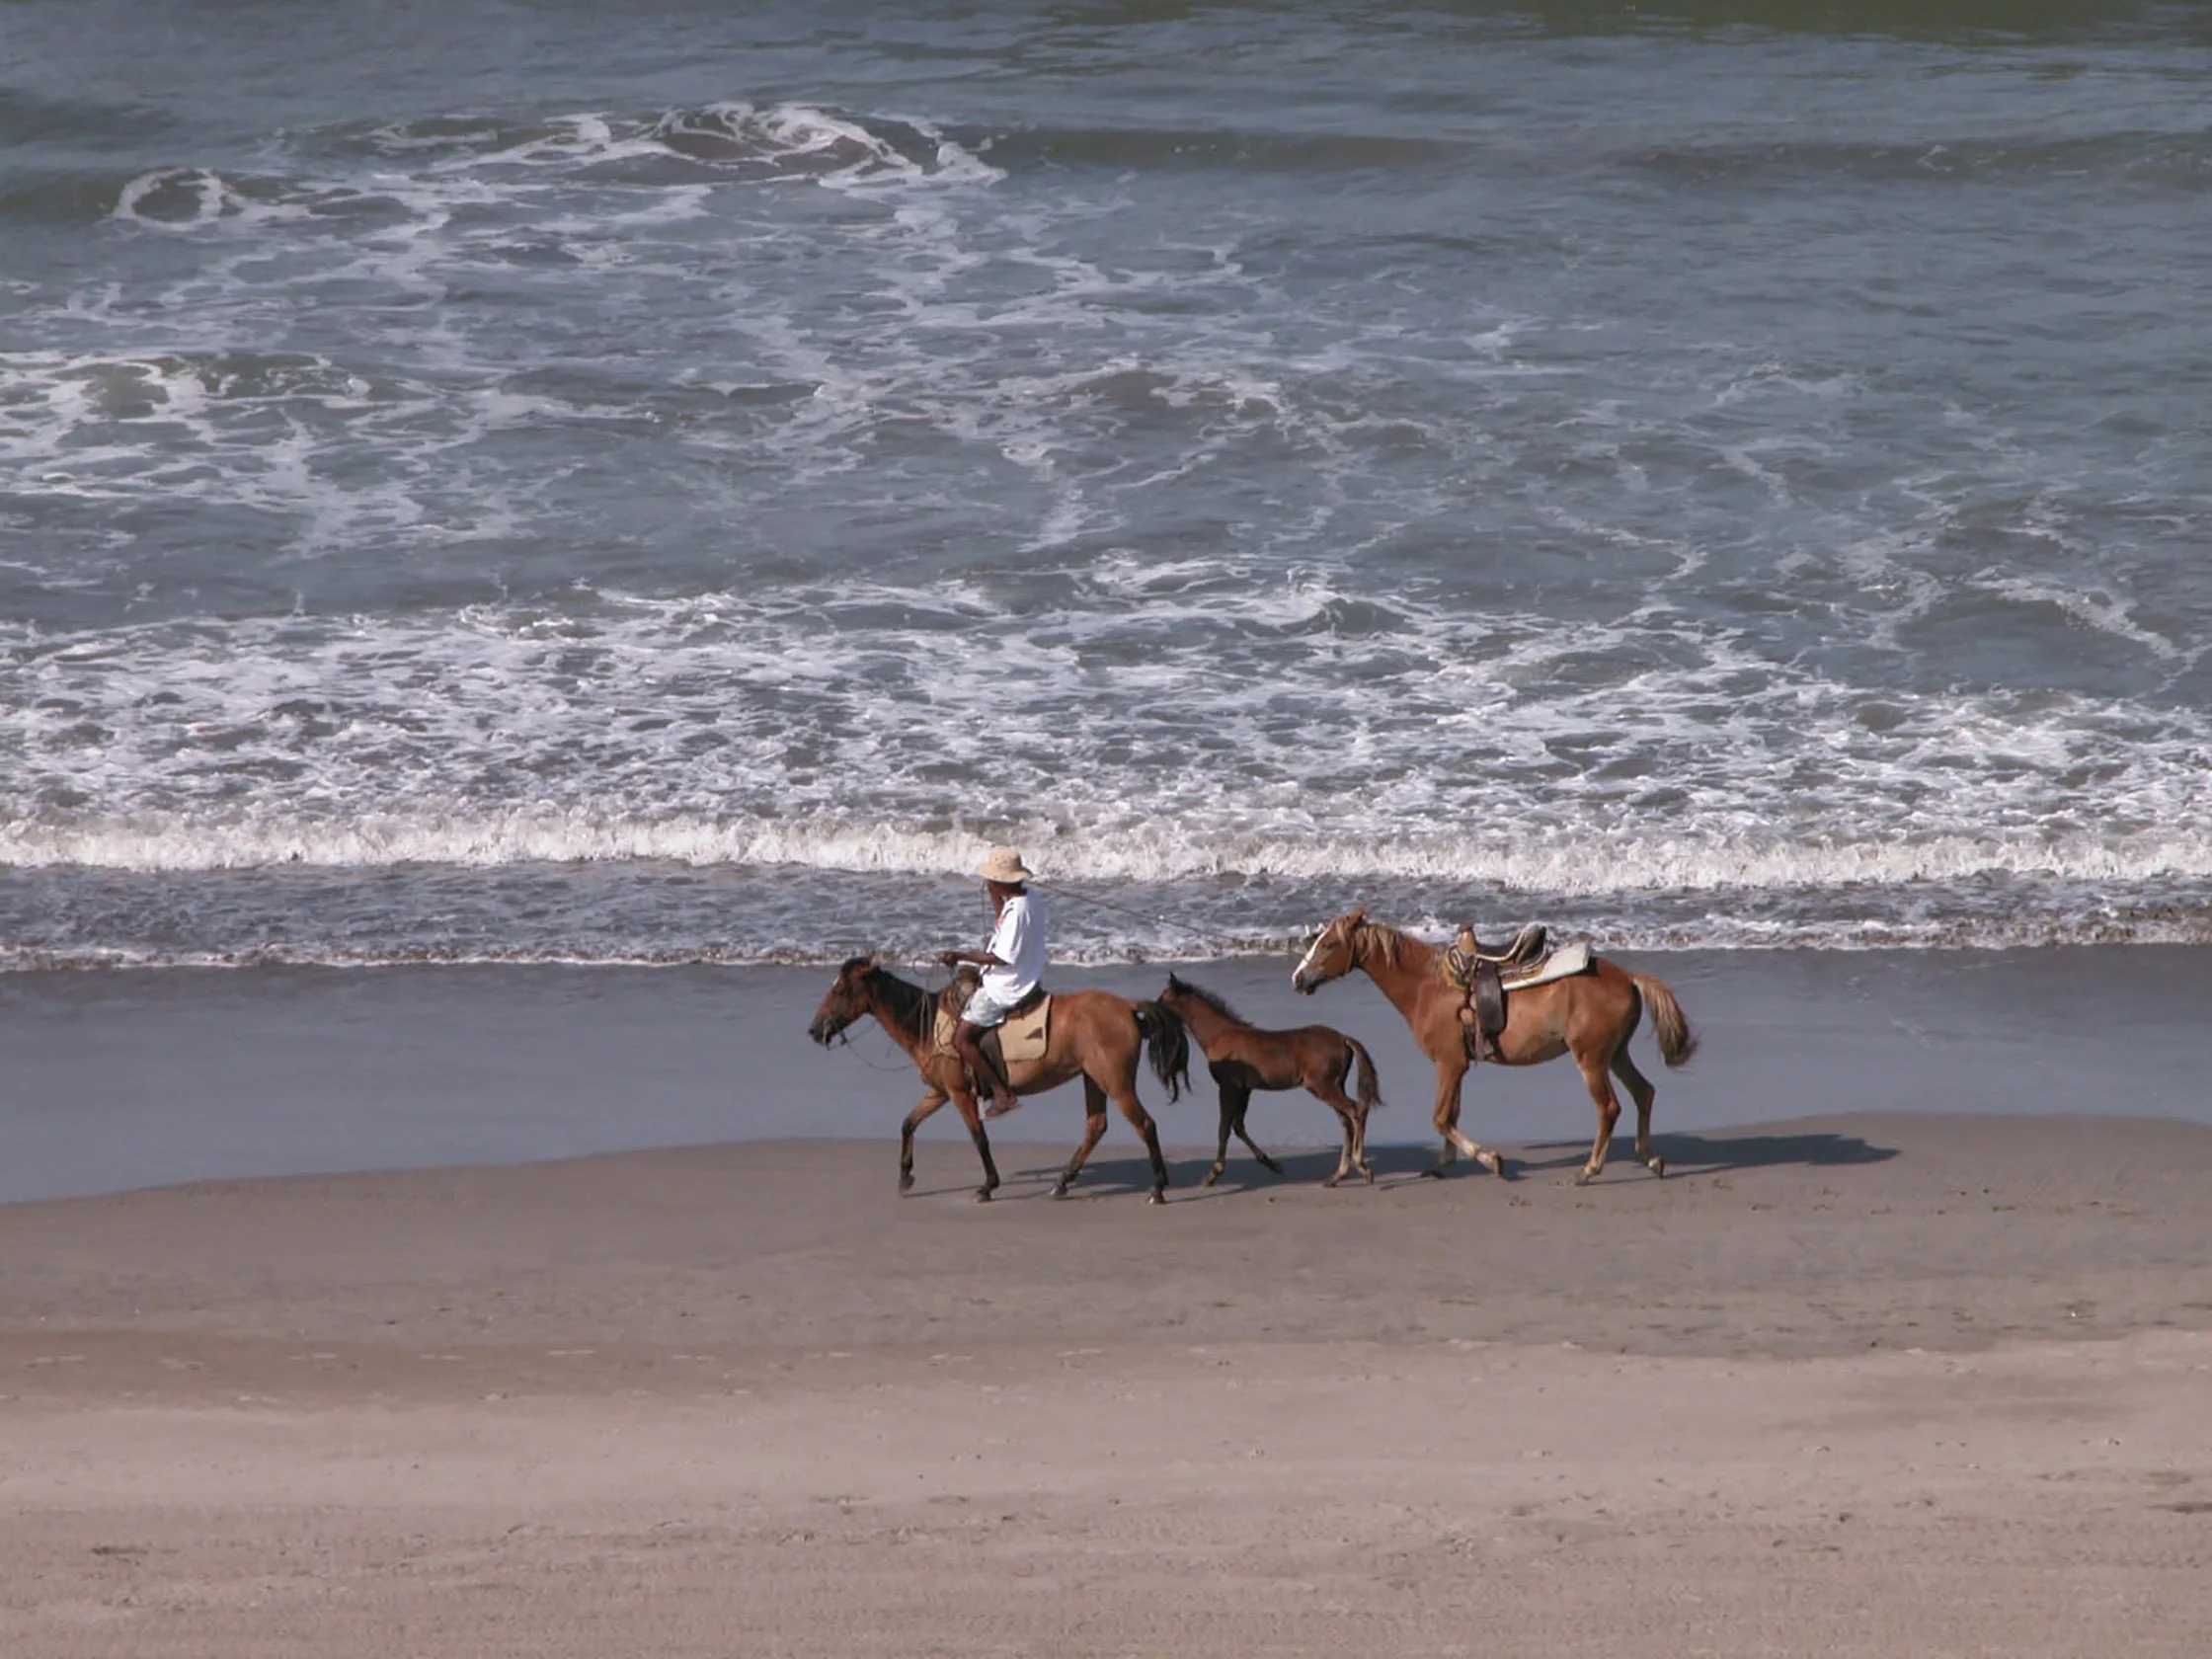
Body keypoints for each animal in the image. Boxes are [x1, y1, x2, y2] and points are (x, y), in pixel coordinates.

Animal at [807, 957, 1192, 1204]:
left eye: (839, 991)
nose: (814, 1030)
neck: (928, 1025)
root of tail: (1126, 1006)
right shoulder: (940, 1091)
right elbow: (908, 1123)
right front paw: (905, 1176)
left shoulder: (960, 1093)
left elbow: (978, 1137)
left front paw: (988, 1185)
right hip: (1093, 1078)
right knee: (1096, 1126)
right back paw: (1062, 1183)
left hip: (1115, 1080)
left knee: (1144, 1124)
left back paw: (1158, 1189)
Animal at [1157, 974, 1383, 1188]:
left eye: (1163, 998)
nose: (1152, 1010)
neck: (1220, 1035)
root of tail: (1343, 1038)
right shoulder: (1245, 1089)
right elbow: (1238, 1126)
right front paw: (1272, 1164)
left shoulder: (1229, 1086)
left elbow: (1224, 1128)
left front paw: (1213, 1175)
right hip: (1334, 1085)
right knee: (1346, 1120)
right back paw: (1337, 1177)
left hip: (1321, 1086)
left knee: (1355, 1111)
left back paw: (1361, 1168)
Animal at [1290, 909, 1698, 1184]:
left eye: (1328, 944)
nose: (1298, 978)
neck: (1427, 986)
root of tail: (1628, 977)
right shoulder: (1456, 1066)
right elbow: (1451, 1115)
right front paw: (1442, 1165)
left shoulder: (1449, 1063)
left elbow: (1441, 1118)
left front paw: (1489, 1159)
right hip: (1616, 1054)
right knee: (1644, 1093)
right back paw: (1651, 1159)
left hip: (1592, 1059)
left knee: (1609, 1108)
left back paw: (1590, 1169)